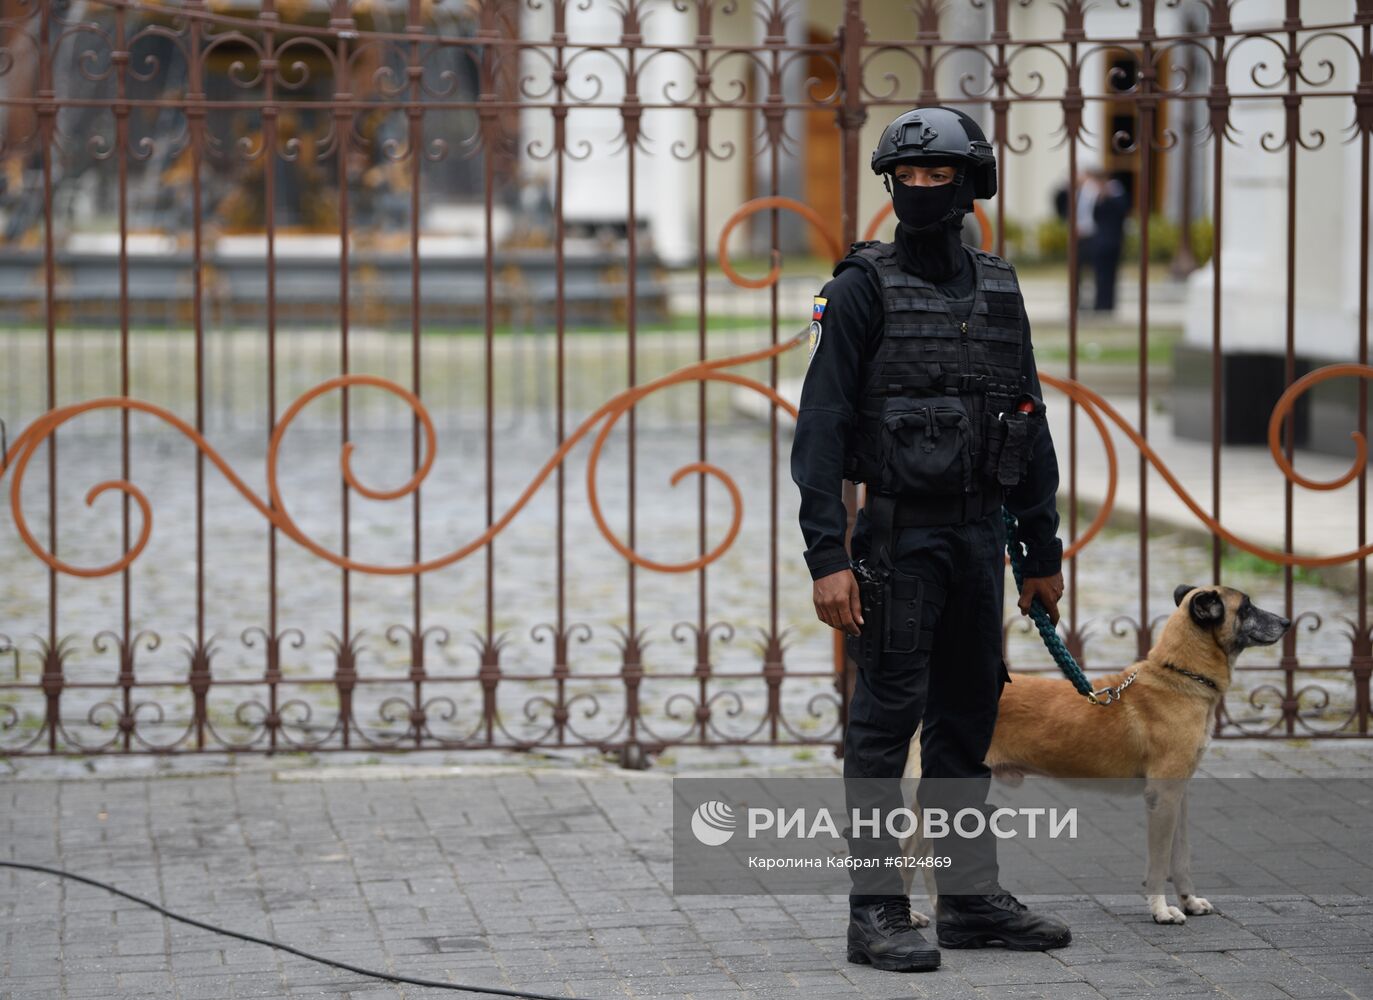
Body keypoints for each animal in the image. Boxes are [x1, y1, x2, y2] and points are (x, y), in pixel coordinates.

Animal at [900, 585, 1285, 923]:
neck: (1178, 678)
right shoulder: (1162, 797)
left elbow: (1182, 858)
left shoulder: (1180, 795)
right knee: (907, 856)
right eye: (1246, 606)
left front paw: (1189, 901)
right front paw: (1162, 911)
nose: (1285, 622)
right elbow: (1159, 863)